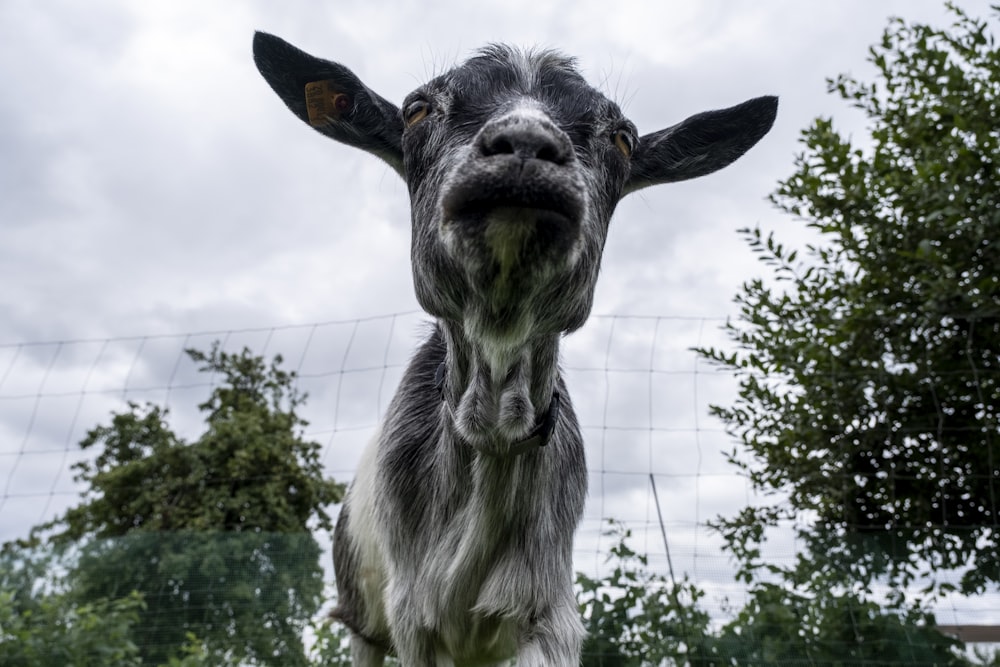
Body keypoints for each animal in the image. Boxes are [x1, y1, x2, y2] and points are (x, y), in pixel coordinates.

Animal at [254, 34, 776, 664]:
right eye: (416, 110)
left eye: (623, 138)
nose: (526, 146)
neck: (494, 433)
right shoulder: (412, 619)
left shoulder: (547, 614)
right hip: (362, 616)